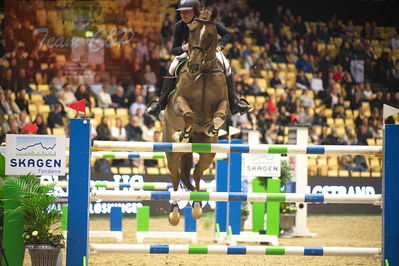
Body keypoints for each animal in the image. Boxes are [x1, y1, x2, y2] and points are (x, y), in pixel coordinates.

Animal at [163, 6, 228, 225]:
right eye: (191, 33)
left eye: (211, 35)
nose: (192, 67)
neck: (204, 72)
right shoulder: (179, 102)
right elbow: (189, 114)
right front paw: (184, 132)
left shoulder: (223, 102)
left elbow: (220, 114)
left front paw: (212, 128)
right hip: (171, 152)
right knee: (175, 176)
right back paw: (174, 213)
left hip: (209, 153)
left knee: (198, 172)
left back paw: (198, 207)